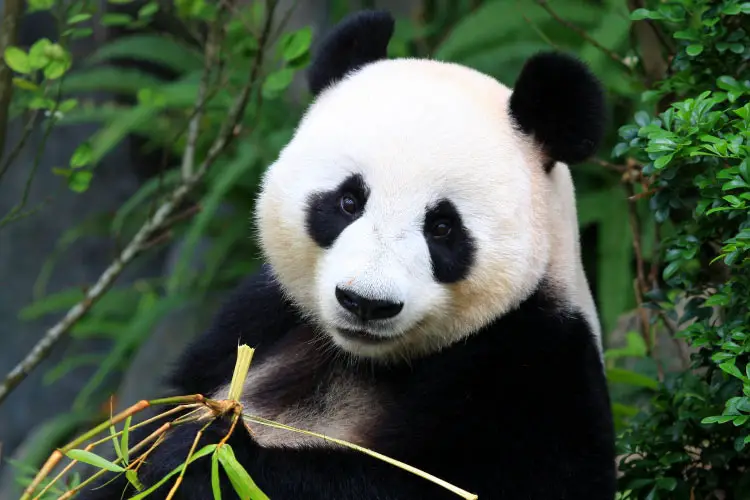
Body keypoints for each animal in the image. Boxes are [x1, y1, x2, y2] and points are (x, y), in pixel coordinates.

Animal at [76, 8, 616, 500]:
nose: (367, 304)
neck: (362, 359)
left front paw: (199, 456)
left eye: (443, 227)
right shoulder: (256, 318)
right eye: (348, 201)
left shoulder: (536, 365)